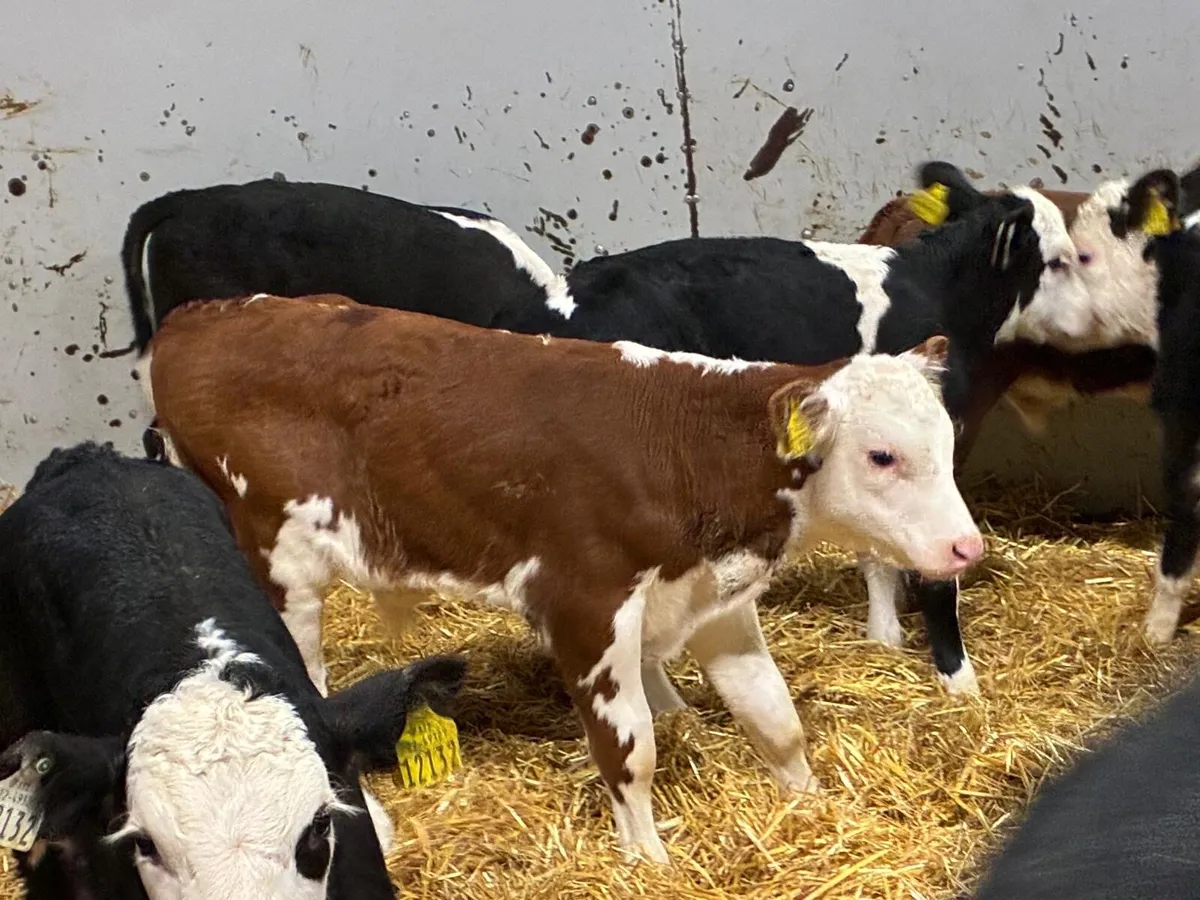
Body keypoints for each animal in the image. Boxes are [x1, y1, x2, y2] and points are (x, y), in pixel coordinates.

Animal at [139, 294, 984, 864]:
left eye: (947, 441)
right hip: (280, 565)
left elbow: (774, 718)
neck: (691, 444)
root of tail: (198, 316)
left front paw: (809, 807)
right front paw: (648, 861)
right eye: (881, 455)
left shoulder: (713, 599)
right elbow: (630, 749)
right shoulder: (585, 604)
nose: (966, 546)